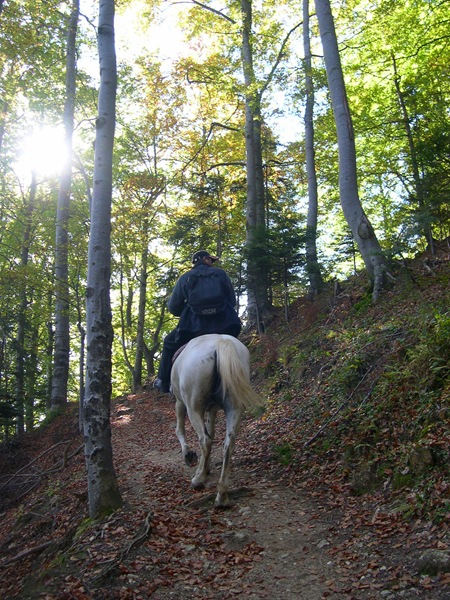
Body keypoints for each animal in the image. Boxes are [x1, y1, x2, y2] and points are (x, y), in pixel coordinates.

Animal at [171, 332, 262, 506]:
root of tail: (221, 342)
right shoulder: (212, 409)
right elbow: (212, 432)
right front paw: (206, 467)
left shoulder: (180, 403)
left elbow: (180, 429)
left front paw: (189, 456)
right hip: (233, 408)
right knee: (228, 444)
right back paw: (222, 495)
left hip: (193, 408)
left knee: (204, 440)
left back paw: (198, 480)